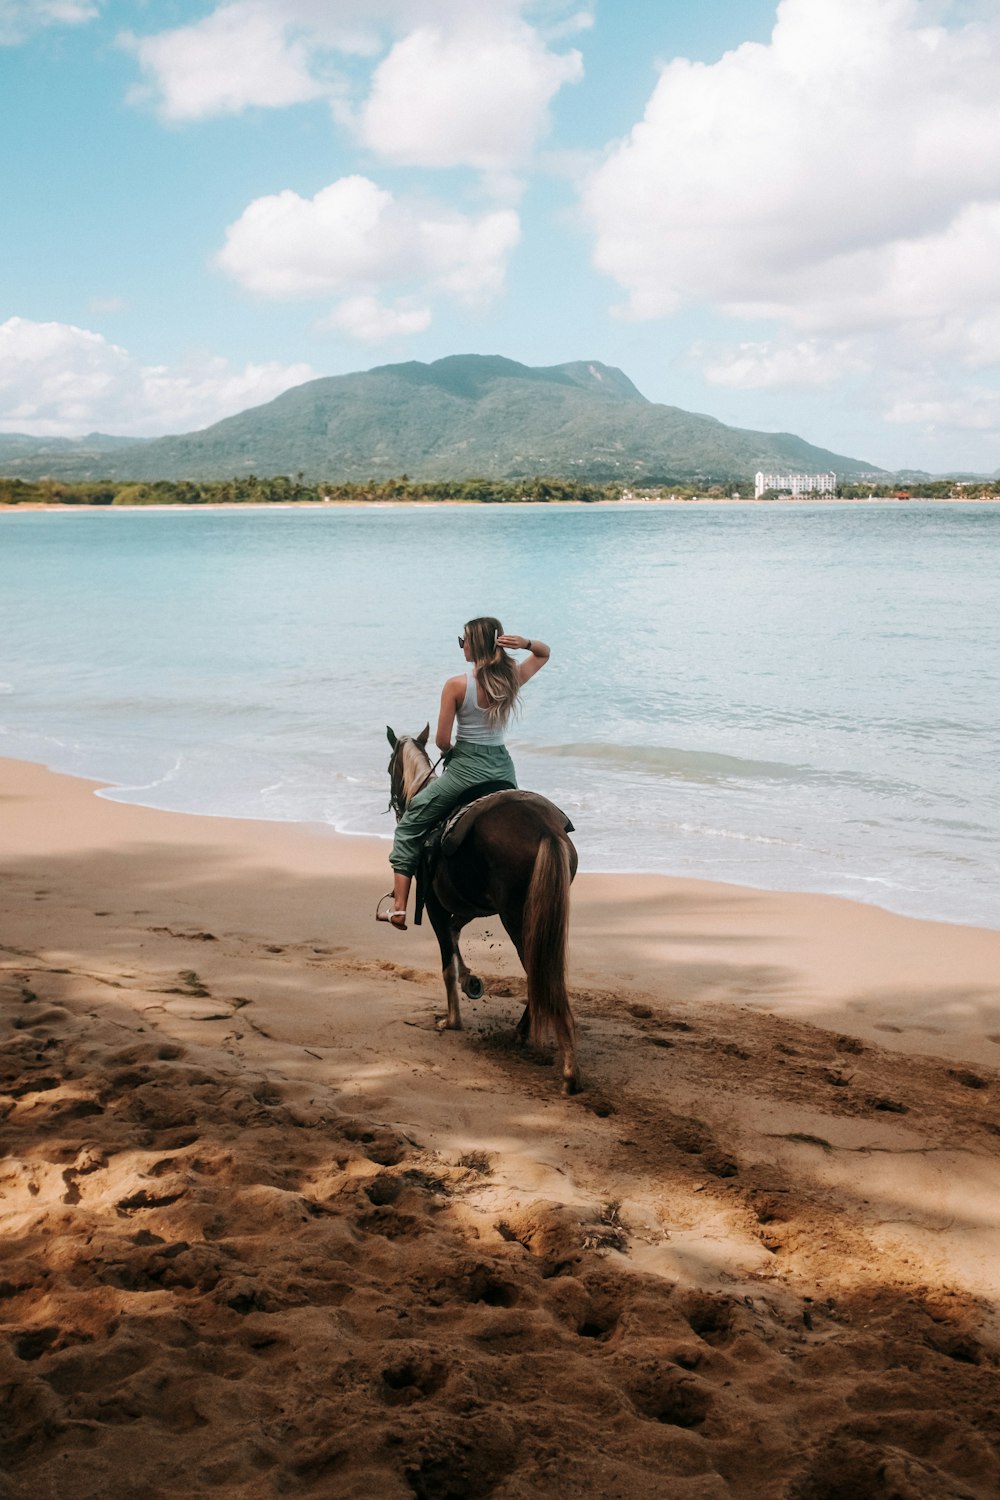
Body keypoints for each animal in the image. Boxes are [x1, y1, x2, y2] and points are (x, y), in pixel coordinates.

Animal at [386, 726, 581, 1092]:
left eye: (390, 765)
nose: (395, 805)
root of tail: (546, 829)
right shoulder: (470, 906)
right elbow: (454, 933)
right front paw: (470, 980)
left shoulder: (434, 905)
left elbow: (446, 961)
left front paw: (452, 1019)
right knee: (541, 972)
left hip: (515, 918)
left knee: (537, 972)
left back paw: (559, 1063)